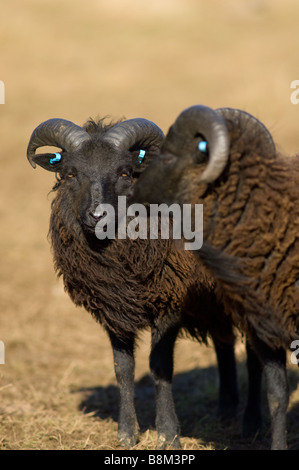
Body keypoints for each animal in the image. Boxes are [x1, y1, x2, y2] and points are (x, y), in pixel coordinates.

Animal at [27, 114, 239, 448]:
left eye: (125, 172)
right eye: (70, 173)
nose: (97, 215)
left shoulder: (170, 301)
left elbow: (160, 367)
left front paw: (168, 434)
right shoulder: (113, 310)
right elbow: (122, 369)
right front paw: (126, 433)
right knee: (224, 341)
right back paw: (228, 409)